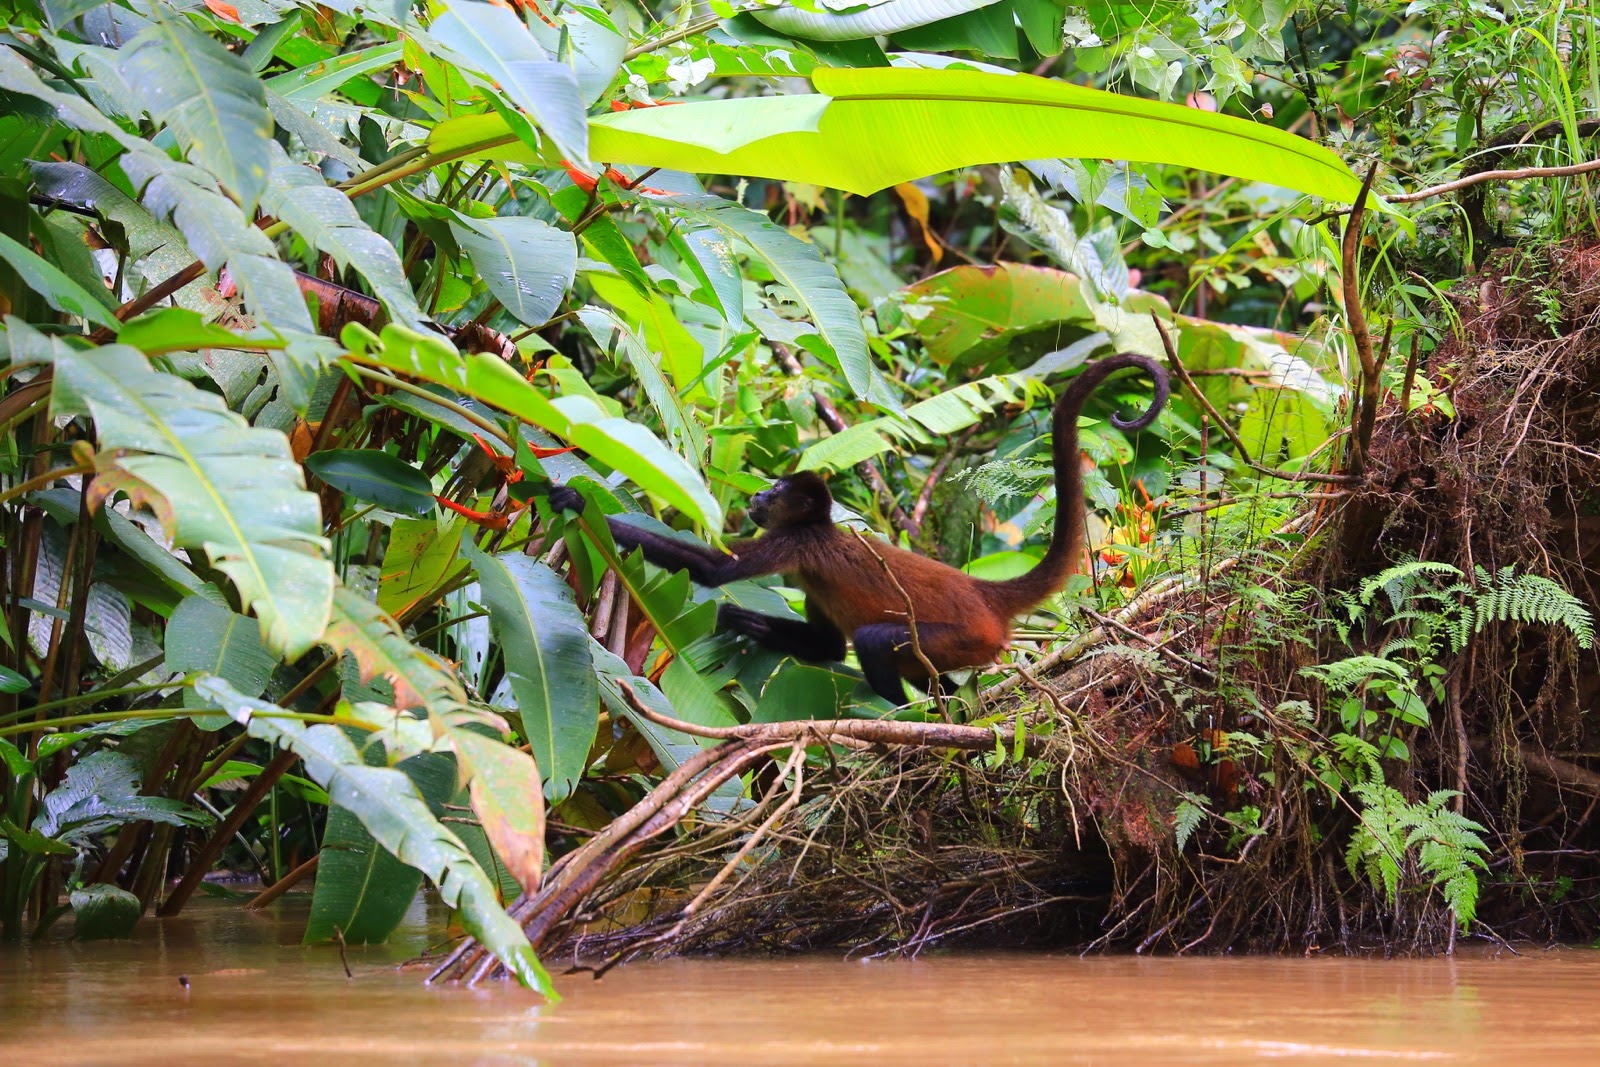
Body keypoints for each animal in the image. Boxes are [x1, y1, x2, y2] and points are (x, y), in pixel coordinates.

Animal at [546, 352, 1169, 704]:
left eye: (775, 493)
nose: (758, 496)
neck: (819, 529)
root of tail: (981, 593)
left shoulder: (794, 542)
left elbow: (715, 571)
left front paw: (574, 497)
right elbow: (823, 643)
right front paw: (739, 621)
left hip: (967, 638)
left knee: (874, 641)